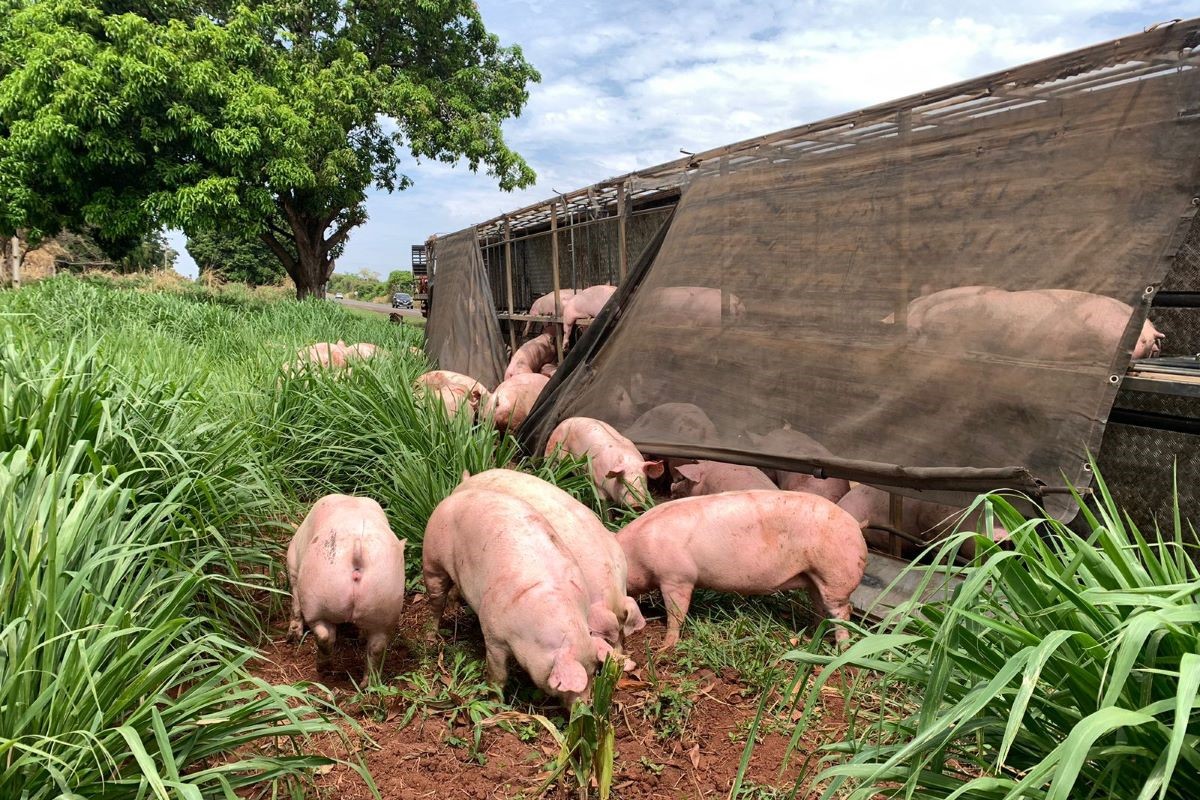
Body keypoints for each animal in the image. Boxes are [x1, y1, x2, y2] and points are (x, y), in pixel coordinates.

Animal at [285, 494, 408, 681]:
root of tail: (358, 548)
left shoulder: (293, 567)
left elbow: (295, 601)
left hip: (318, 597)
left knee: (324, 634)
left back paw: (322, 667)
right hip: (386, 603)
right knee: (377, 646)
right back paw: (368, 683)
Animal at [424, 489, 609, 705]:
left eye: (593, 672)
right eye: (566, 686)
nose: (586, 705)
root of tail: (451, 498)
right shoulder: (493, 634)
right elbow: (498, 675)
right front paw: (494, 703)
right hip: (431, 557)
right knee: (436, 601)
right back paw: (430, 638)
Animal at [619, 489, 864, 652]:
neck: (636, 552)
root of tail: (856, 525)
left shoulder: (677, 578)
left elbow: (676, 613)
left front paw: (664, 648)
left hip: (835, 576)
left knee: (843, 611)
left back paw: (843, 650)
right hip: (814, 578)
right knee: (820, 607)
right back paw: (811, 635)